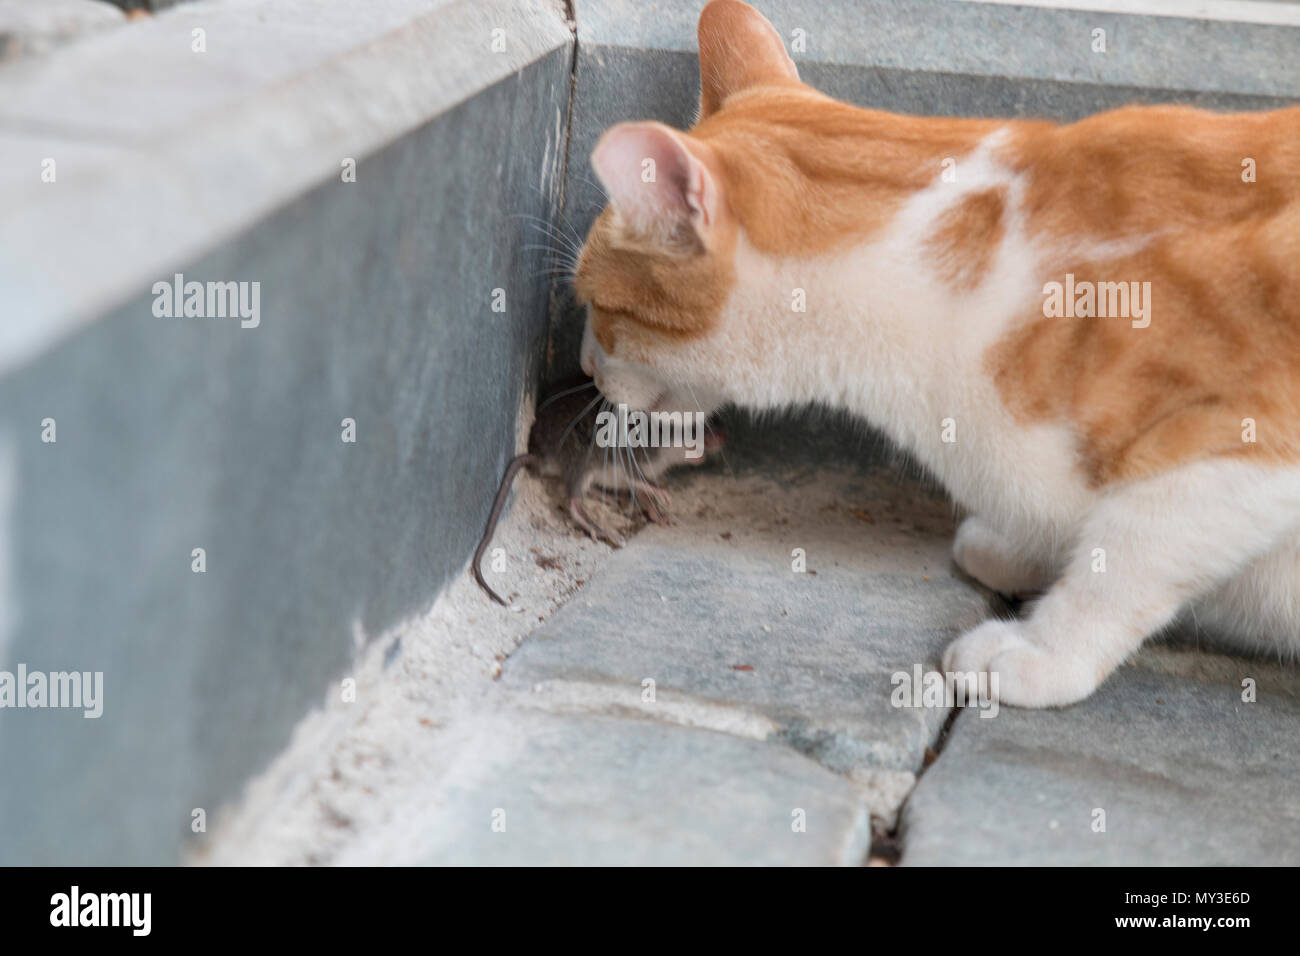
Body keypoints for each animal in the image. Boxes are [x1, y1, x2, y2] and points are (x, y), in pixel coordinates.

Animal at [572, 0, 1300, 702]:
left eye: (596, 304)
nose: (581, 363)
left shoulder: (1246, 450)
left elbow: (1123, 563)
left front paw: (1042, 653)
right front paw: (1022, 550)